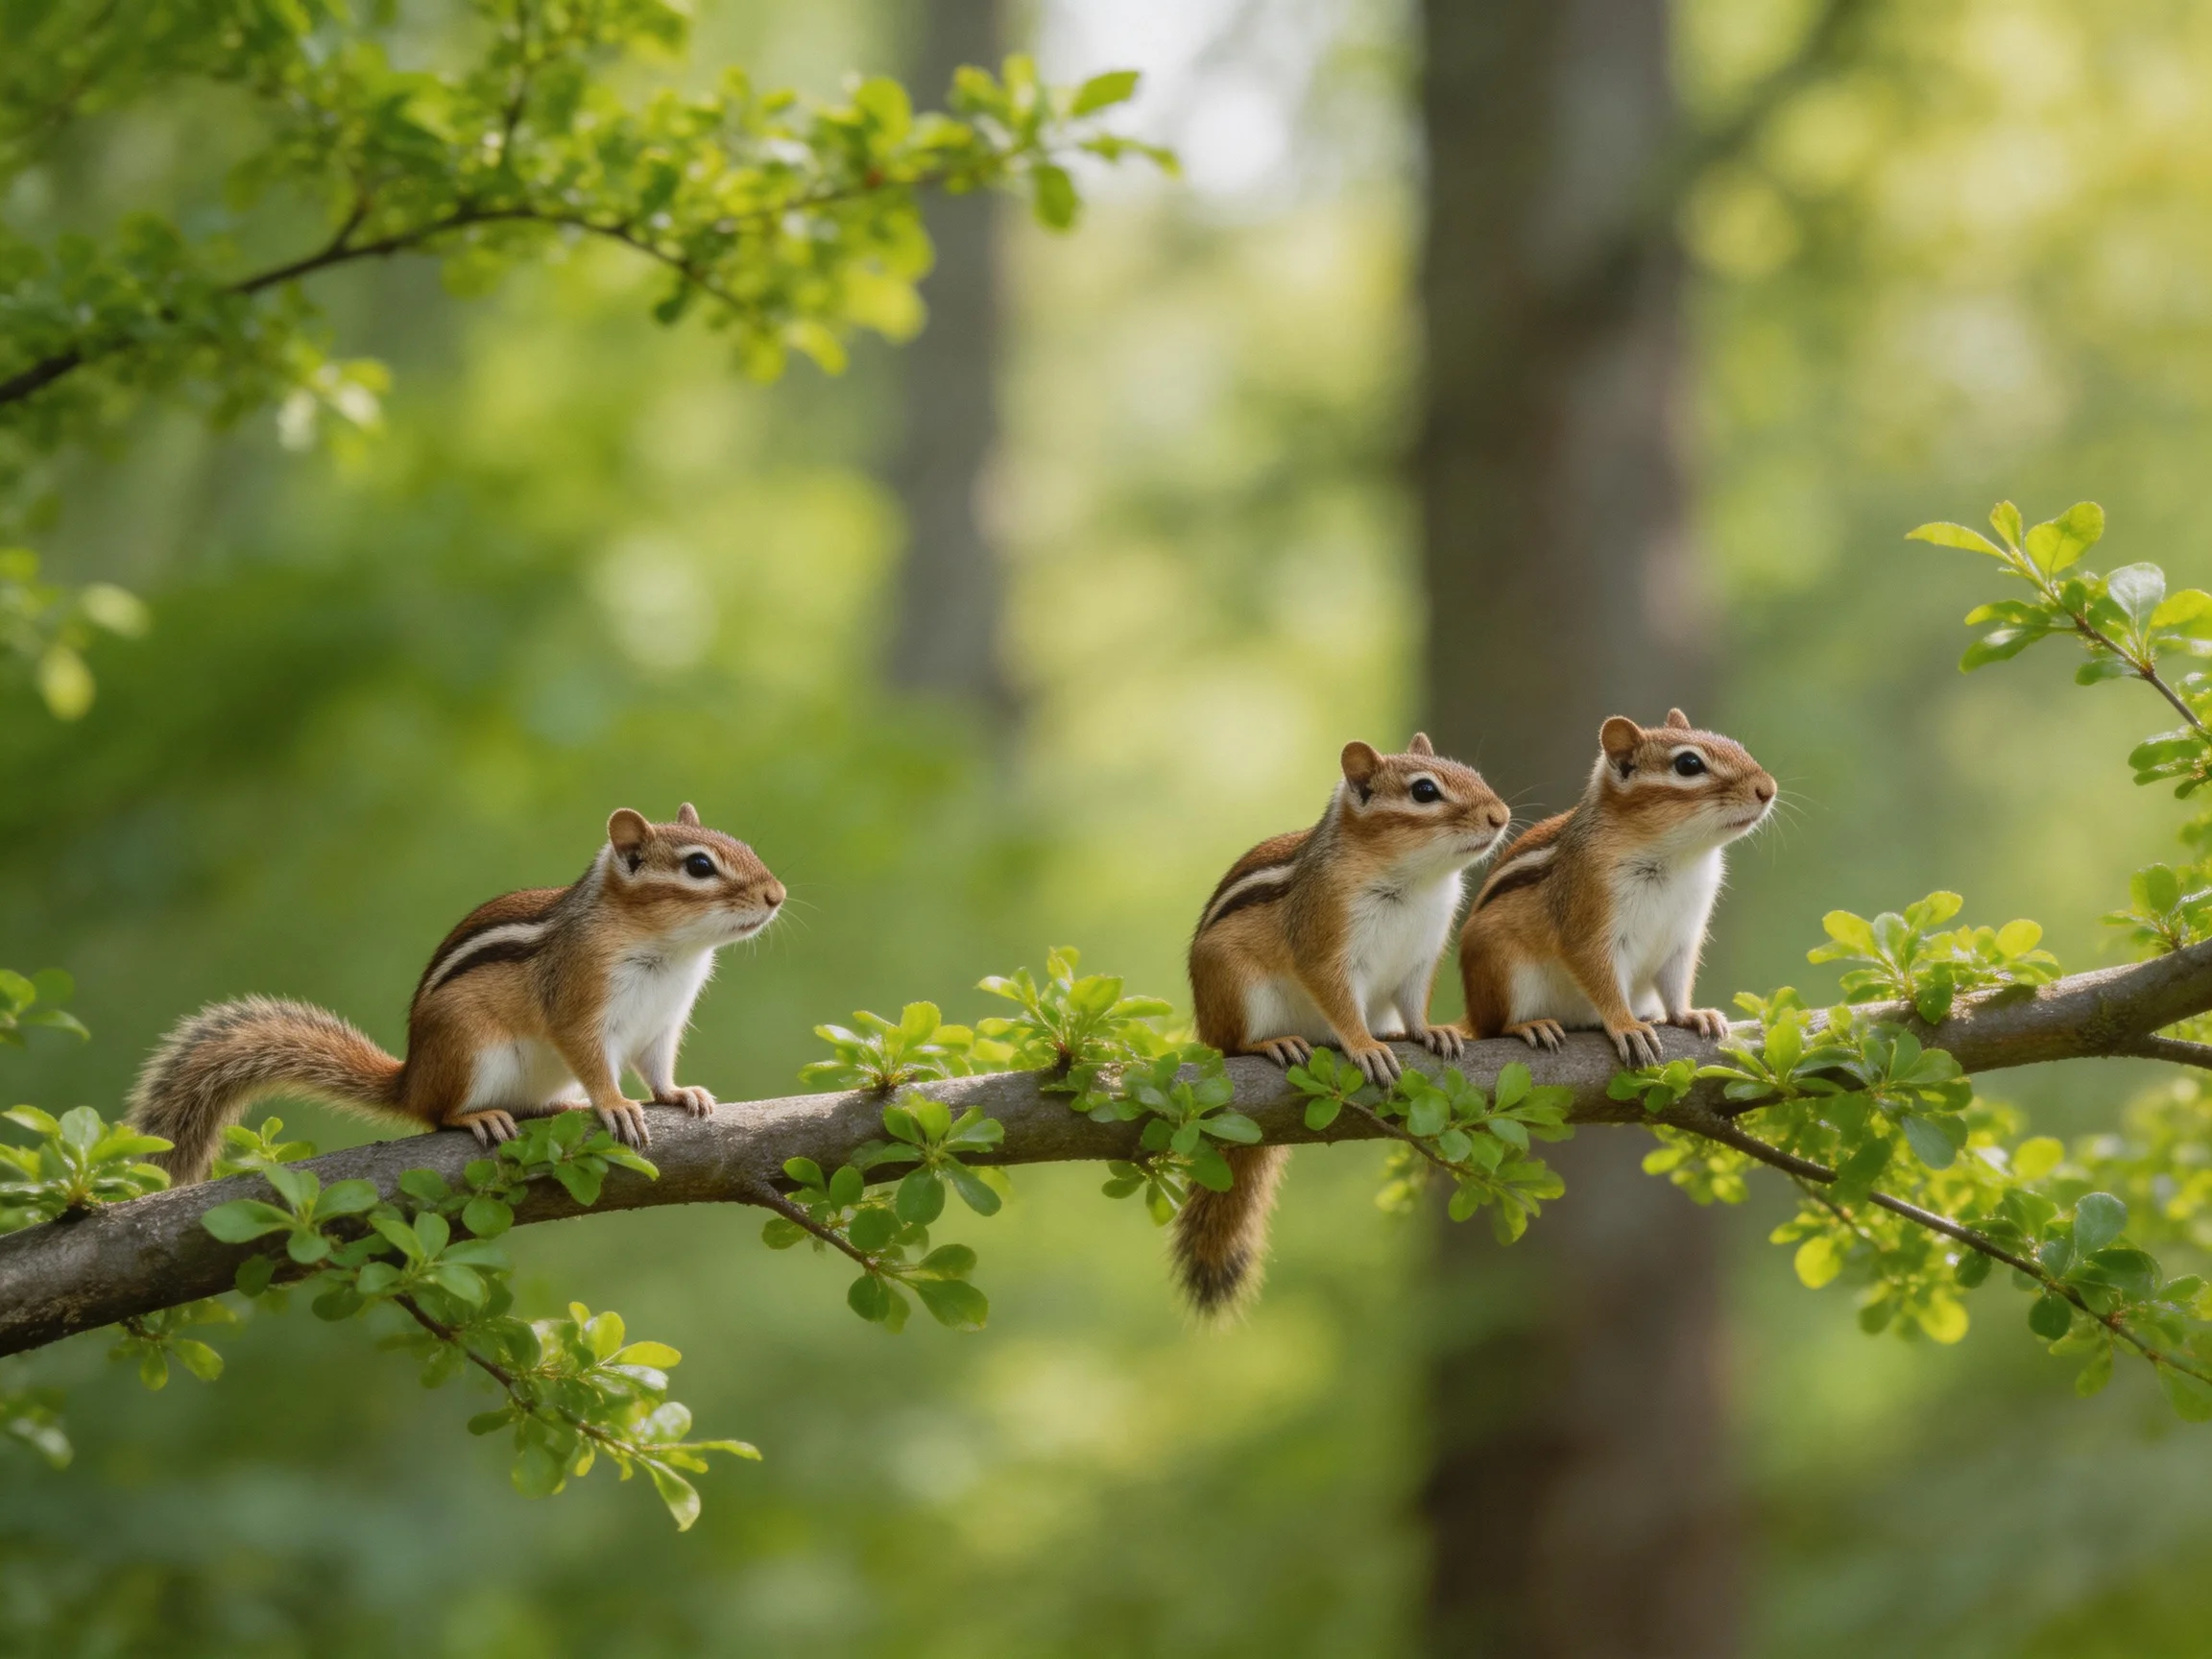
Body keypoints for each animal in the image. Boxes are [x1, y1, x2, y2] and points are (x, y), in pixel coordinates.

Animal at [129, 805, 785, 1183]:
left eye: (743, 844)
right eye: (699, 866)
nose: (777, 895)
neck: (673, 952)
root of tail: (410, 1079)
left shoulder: (663, 1022)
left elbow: (657, 1065)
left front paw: (678, 1093)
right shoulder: (580, 1003)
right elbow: (592, 1056)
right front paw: (616, 1103)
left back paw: (559, 1107)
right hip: (469, 1047)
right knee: (439, 1116)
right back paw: (481, 1116)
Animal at [1175, 734, 1512, 1313]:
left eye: (1472, 772)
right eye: (1425, 791)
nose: (1501, 815)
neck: (1418, 883)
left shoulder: (1422, 955)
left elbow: (1415, 1000)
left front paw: (1428, 1031)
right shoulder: (1326, 945)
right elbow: (1337, 998)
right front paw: (1364, 1046)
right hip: (1234, 988)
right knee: (1237, 1041)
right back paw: (1276, 1043)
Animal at [1457, 709, 1775, 1067]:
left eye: (1737, 746)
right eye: (1689, 764)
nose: (1768, 788)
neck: (1679, 857)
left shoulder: (1682, 936)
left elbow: (1676, 980)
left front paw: (1689, 1014)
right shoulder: (1590, 920)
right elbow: (1601, 978)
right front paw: (1626, 1026)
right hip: (1501, 966)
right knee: (1493, 1026)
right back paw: (1528, 1025)